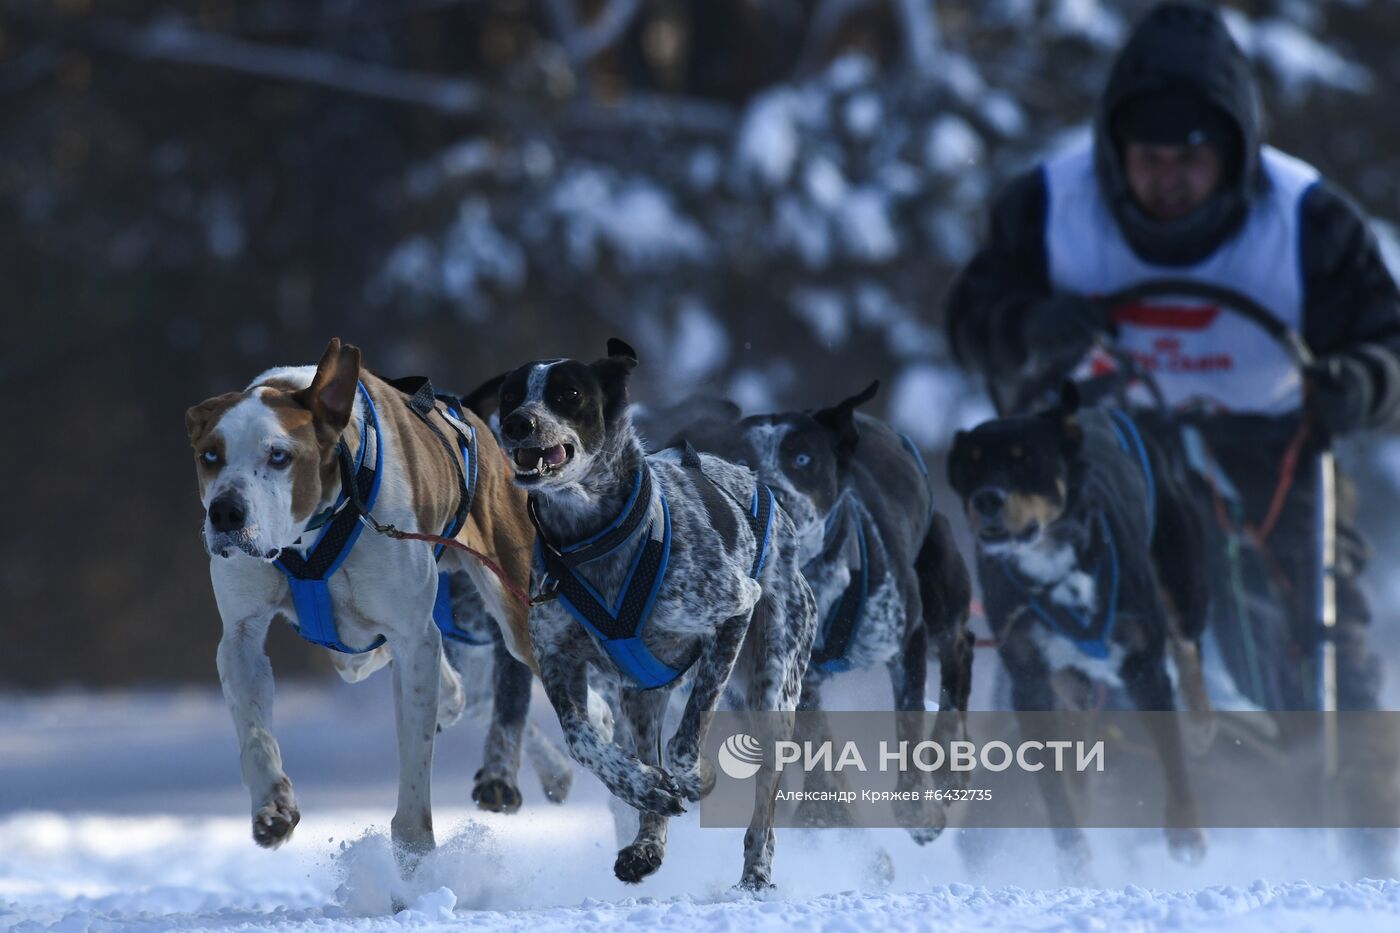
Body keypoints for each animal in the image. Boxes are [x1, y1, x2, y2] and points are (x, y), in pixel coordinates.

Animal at [184, 337, 551, 851]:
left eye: (279, 456)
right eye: (210, 456)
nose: (225, 513)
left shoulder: (412, 633)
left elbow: (415, 763)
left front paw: (414, 850)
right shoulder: (241, 632)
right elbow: (255, 732)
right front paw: (272, 806)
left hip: (513, 602)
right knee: (371, 659)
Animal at [481, 336, 817, 885]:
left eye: (568, 393)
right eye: (510, 395)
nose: (517, 424)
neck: (591, 539)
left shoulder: (734, 609)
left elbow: (687, 739)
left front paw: (693, 776)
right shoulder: (558, 662)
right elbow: (582, 740)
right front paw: (643, 786)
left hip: (774, 683)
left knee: (765, 798)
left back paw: (755, 870)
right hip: (640, 698)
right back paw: (646, 843)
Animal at [674, 381, 974, 840]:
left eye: (803, 459)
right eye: (741, 461)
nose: (775, 494)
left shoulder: (906, 639)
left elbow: (909, 726)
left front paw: (918, 807)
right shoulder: (791, 672)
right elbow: (817, 744)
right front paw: (828, 809)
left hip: (937, 585)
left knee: (960, 647)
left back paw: (950, 760)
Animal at [952, 381, 1215, 874]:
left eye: (1025, 458)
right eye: (972, 463)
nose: (986, 499)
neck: (1056, 571)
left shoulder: (1143, 667)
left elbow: (1171, 758)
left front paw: (1186, 833)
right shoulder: (1030, 681)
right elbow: (1055, 790)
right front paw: (1074, 858)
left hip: (1181, 580)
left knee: (1188, 648)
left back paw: (1200, 726)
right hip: (1069, 684)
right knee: (1075, 749)